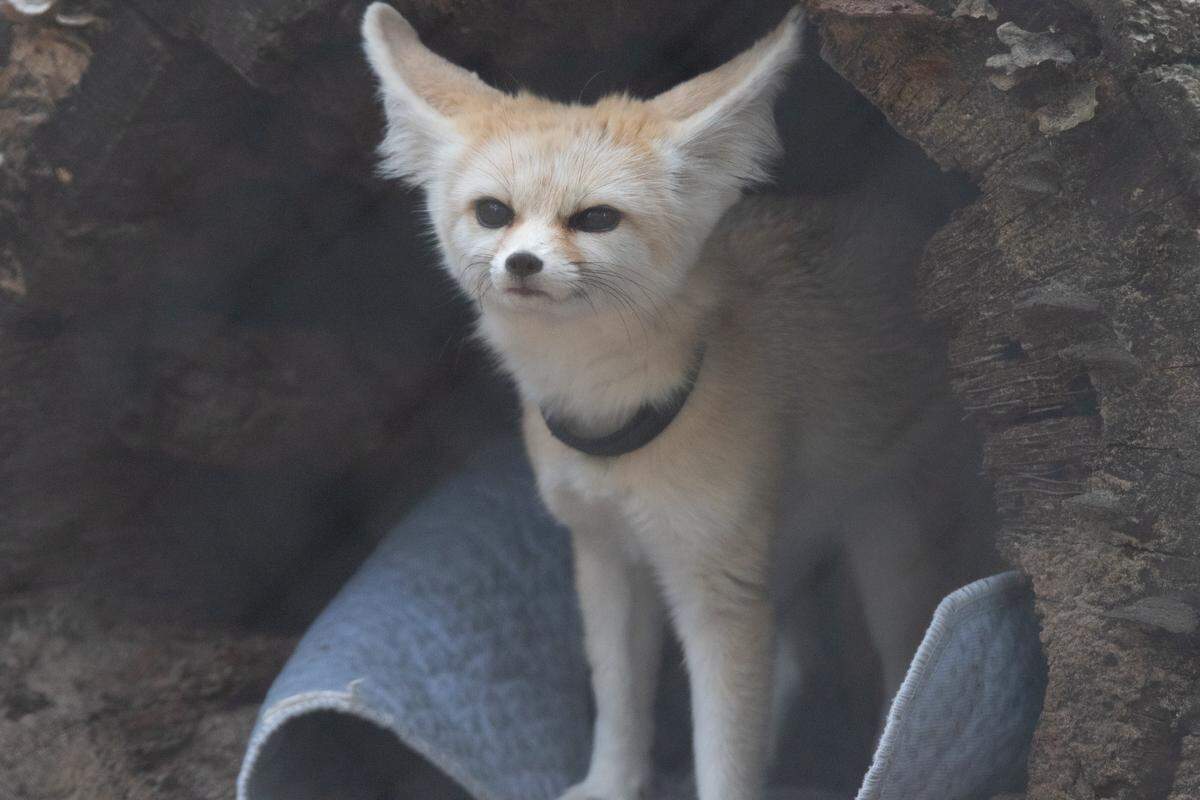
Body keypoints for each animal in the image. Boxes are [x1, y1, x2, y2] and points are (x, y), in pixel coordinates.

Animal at [362, 4, 992, 799]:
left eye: (596, 219)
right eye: (494, 213)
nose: (522, 263)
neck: (612, 421)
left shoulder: (719, 589)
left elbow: (727, 747)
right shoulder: (606, 557)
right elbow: (620, 701)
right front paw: (609, 784)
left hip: (888, 544)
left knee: (902, 667)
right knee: (798, 663)